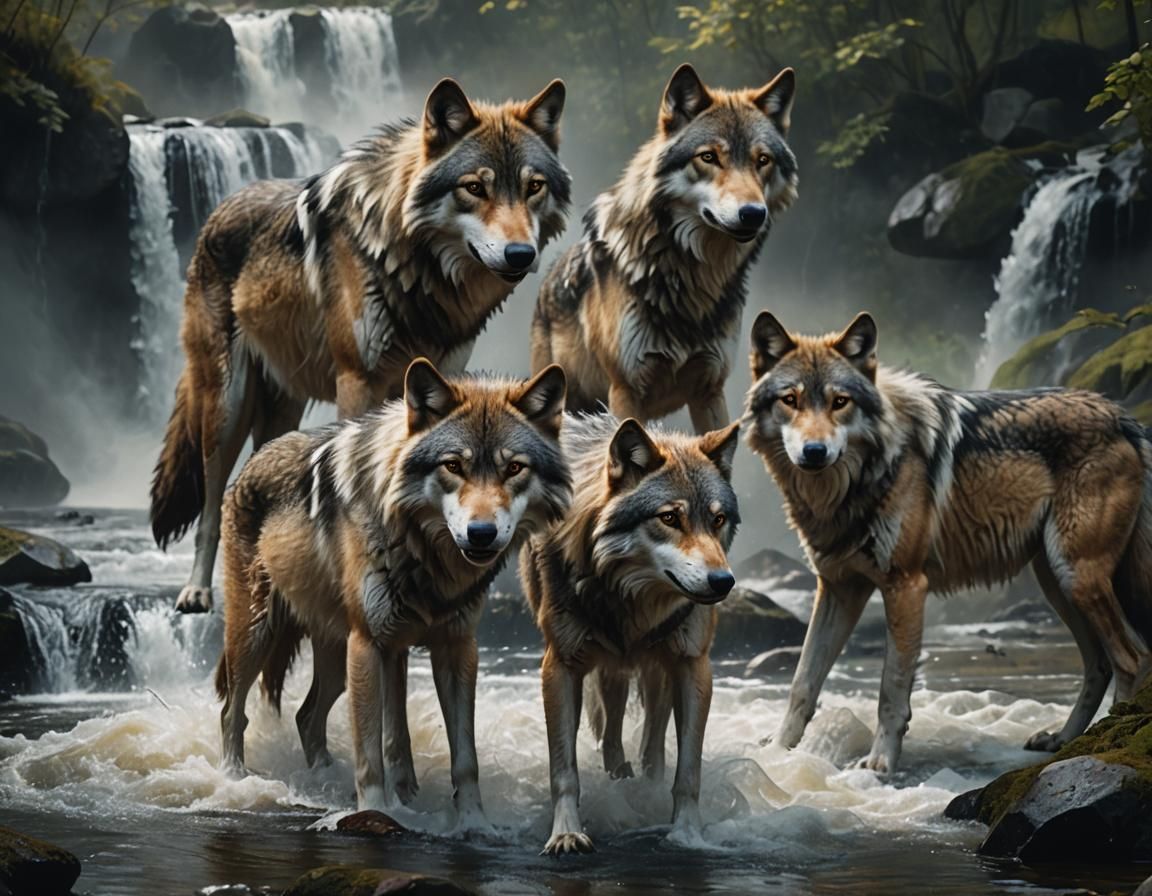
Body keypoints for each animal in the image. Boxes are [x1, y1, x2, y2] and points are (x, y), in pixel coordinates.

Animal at [151, 77, 571, 613]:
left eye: (532, 187)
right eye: (475, 187)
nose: (521, 253)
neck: (414, 269)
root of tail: (221, 206)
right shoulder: (357, 380)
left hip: (281, 409)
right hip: (224, 407)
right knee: (211, 501)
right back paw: (197, 592)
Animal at [215, 359, 571, 824]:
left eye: (514, 469)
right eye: (453, 466)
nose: (481, 534)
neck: (424, 554)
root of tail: (252, 460)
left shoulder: (456, 647)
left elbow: (464, 755)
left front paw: (473, 822)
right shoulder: (368, 645)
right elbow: (370, 750)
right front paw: (375, 811)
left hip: (339, 660)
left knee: (307, 716)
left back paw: (323, 780)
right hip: (258, 636)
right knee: (231, 711)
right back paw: (233, 780)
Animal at [520, 414, 741, 853]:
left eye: (718, 519)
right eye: (669, 518)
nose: (723, 582)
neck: (632, 602)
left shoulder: (693, 666)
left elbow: (688, 772)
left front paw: (687, 834)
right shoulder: (560, 666)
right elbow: (563, 769)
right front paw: (566, 833)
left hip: (659, 671)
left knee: (653, 734)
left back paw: (644, 780)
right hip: (609, 666)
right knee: (612, 719)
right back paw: (618, 773)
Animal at [530, 63, 797, 434]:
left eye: (762, 160)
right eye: (709, 157)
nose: (753, 214)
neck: (689, 277)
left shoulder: (710, 389)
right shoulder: (625, 390)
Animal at [743, 311, 1152, 774]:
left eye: (839, 402)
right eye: (790, 400)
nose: (815, 452)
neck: (854, 483)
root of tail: (1123, 417)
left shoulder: (905, 586)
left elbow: (890, 688)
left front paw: (879, 765)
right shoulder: (837, 589)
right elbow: (802, 683)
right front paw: (778, 751)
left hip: (1076, 577)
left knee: (1131, 659)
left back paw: (1098, 746)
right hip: (1058, 585)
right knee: (1099, 664)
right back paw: (1063, 741)